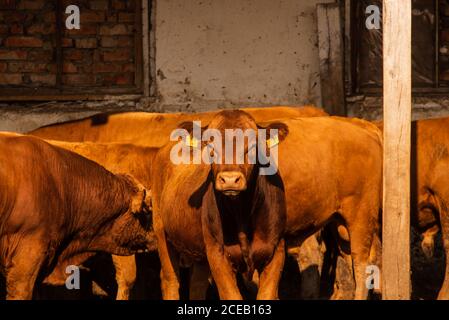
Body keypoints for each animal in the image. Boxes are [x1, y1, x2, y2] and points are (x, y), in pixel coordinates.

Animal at [152, 110, 380, 300]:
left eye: (253, 146)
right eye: (210, 145)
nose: (230, 179)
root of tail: (365, 128)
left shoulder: (275, 250)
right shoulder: (217, 254)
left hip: (360, 218)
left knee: (361, 265)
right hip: (162, 232)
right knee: (173, 280)